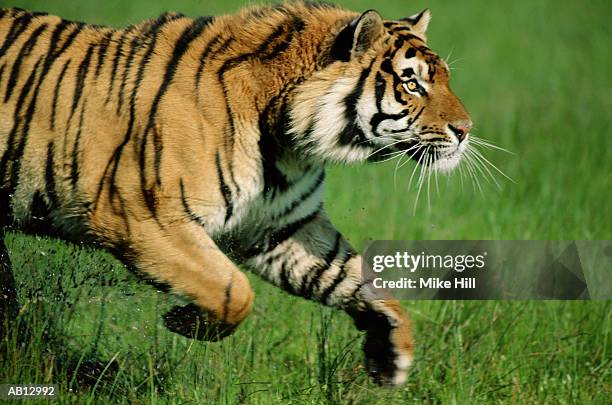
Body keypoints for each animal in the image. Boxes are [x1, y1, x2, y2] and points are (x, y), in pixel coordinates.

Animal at [0, 0, 474, 386]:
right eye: (412, 84)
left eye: (445, 80)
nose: (466, 130)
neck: (288, 141)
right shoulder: (141, 215)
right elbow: (234, 293)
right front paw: (184, 321)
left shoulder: (281, 225)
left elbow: (354, 277)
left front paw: (390, 355)